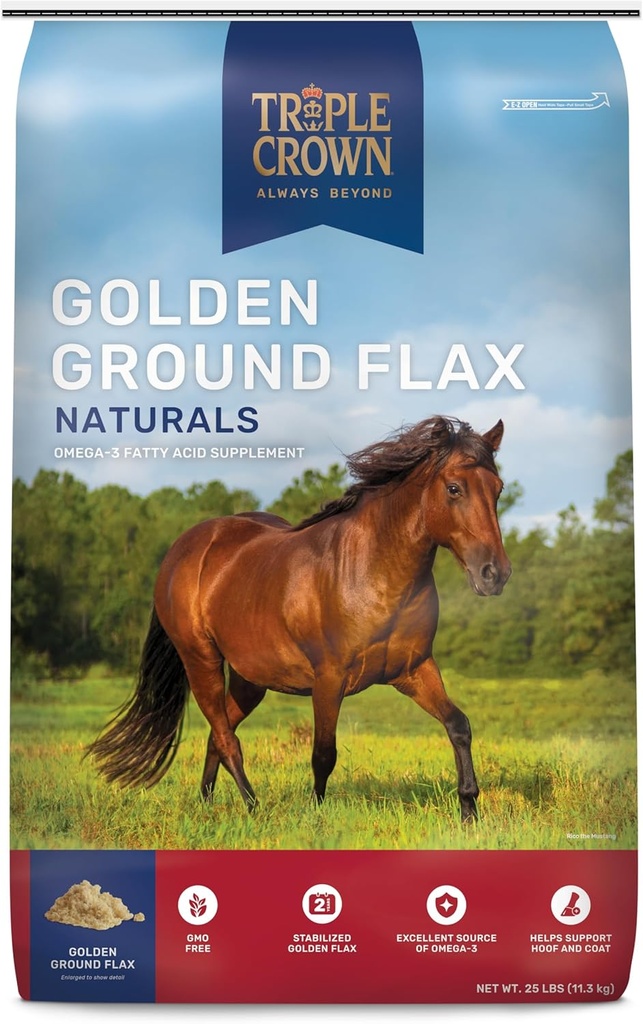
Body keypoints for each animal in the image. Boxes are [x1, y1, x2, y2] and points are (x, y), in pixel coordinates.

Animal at [88, 415, 512, 823]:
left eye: (498, 488)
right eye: (454, 488)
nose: (495, 574)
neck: (371, 571)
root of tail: (182, 549)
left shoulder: (414, 669)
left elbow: (458, 726)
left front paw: (469, 811)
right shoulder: (329, 679)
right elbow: (324, 754)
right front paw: (316, 815)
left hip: (249, 680)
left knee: (217, 734)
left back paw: (207, 805)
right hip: (201, 661)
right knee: (226, 738)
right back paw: (253, 808)